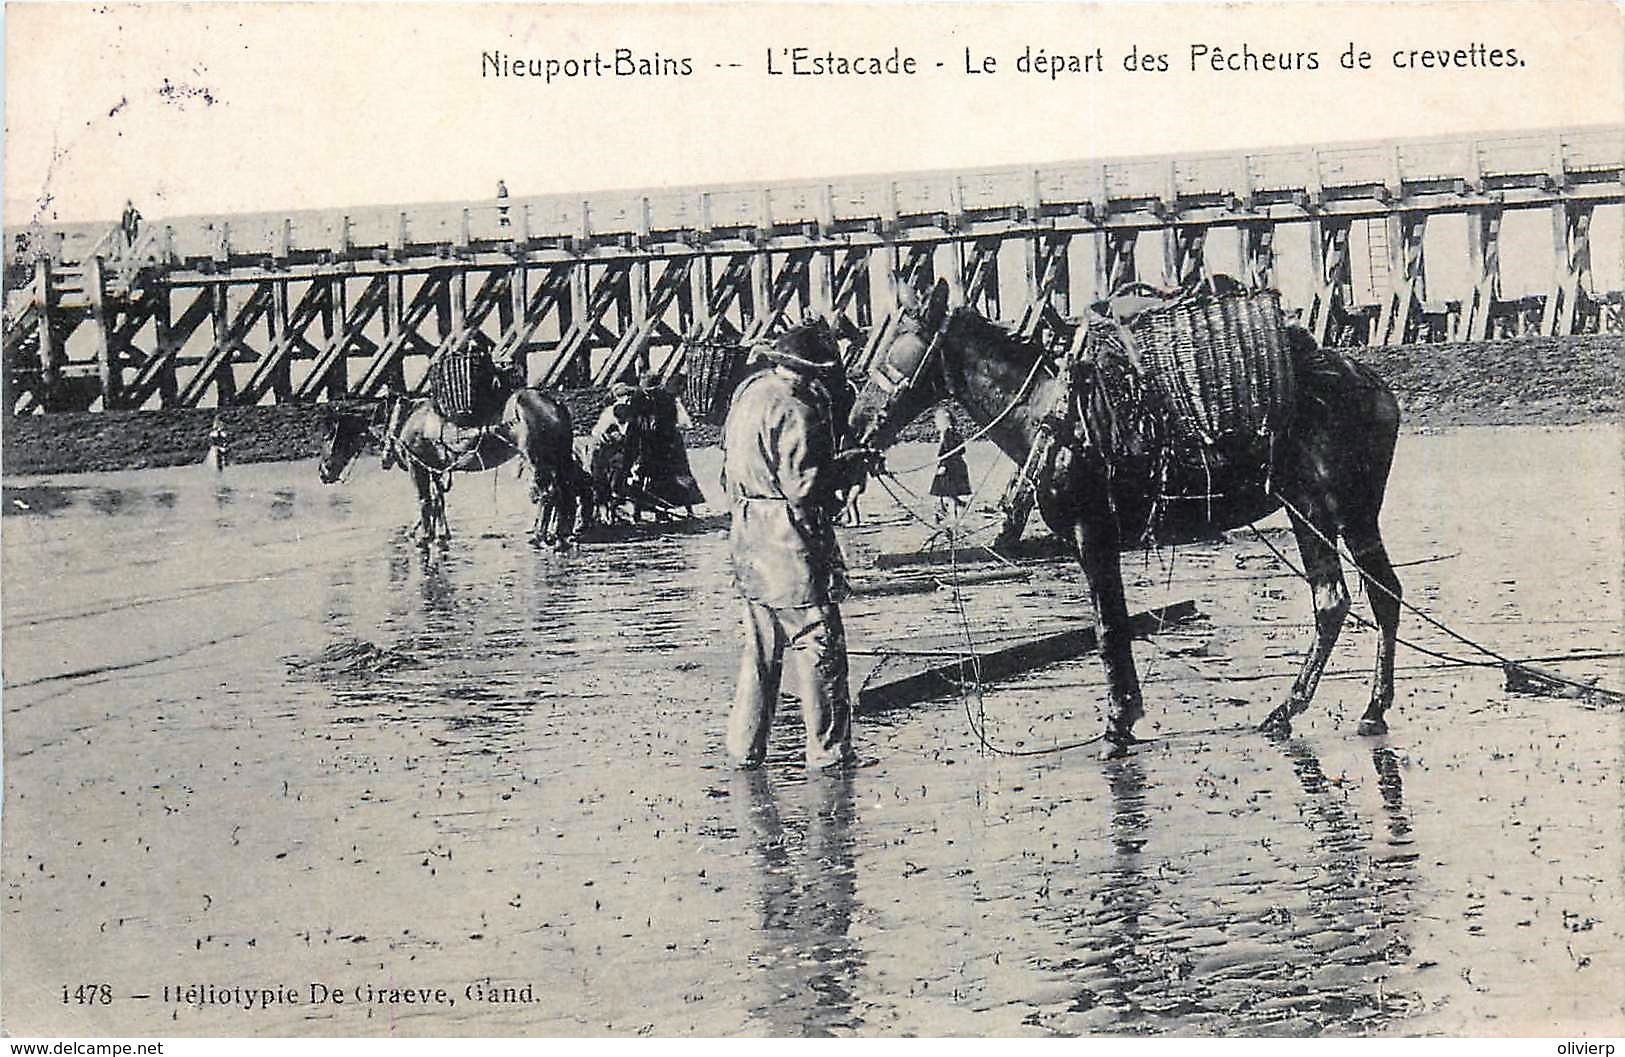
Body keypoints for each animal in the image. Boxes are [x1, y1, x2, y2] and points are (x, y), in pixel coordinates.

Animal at [316, 388, 578, 552]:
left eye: (328, 436)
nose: (323, 472)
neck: (405, 418)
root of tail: (555, 405)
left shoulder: (417, 467)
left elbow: (425, 501)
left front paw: (423, 538)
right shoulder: (433, 468)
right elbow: (438, 501)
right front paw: (440, 535)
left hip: (537, 459)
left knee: (548, 495)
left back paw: (539, 534)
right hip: (557, 459)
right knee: (564, 495)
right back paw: (559, 533)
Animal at [845, 279, 1404, 754]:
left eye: (896, 341)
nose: (853, 429)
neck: (1049, 414)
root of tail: (1372, 382)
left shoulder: (1091, 536)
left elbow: (1107, 628)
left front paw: (1118, 723)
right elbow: (1111, 625)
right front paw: (1126, 714)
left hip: (1326, 510)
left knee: (1347, 599)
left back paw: (1318, 708)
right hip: (1334, 515)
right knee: (1364, 597)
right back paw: (1344, 710)